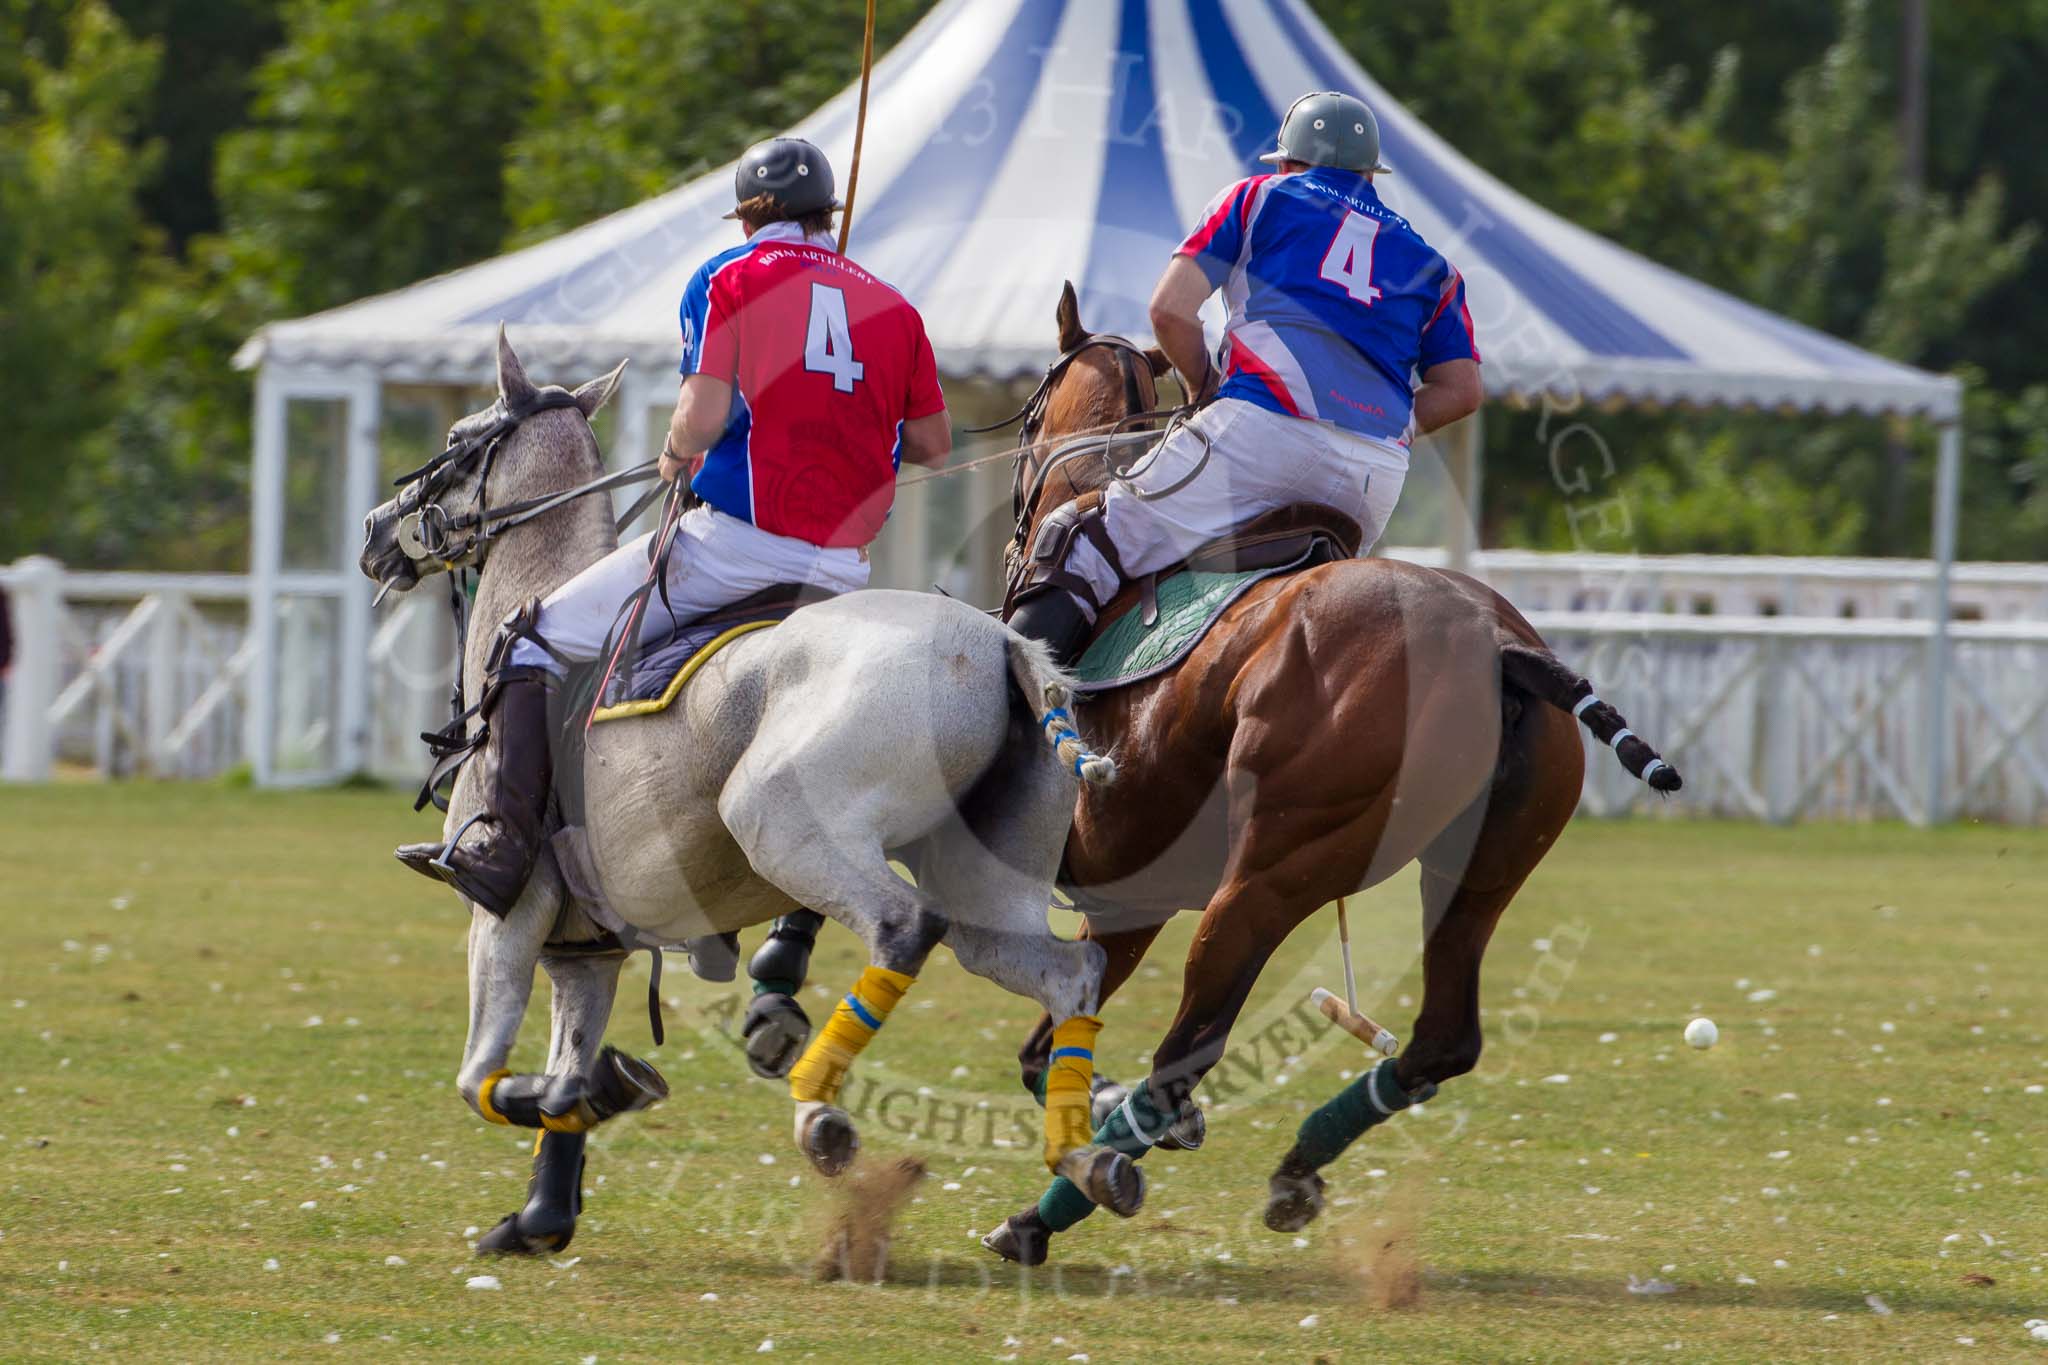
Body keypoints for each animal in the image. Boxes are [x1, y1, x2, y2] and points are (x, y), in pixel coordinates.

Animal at [360, 325, 1146, 1252]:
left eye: (455, 442)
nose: (374, 528)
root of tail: (1002, 645)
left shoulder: (509, 915)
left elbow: (482, 1076)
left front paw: (589, 1099)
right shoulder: (586, 948)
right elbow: (567, 1066)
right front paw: (542, 1210)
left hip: (779, 822)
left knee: (905, 925)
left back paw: (820, 1112)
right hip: (989, 883)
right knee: (1069, 969)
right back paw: (1087, 1160)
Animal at [987, 282, 1679, 1268]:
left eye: (1029, 412)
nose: (1012, 535)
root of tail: (1499, 644)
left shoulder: (1108, 884)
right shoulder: (1129, 898)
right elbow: (1046, 1044)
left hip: (1274, 869)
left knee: (1189, 1049)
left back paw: (1067, 1196)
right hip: (1483, 866)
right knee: (1442, 1038)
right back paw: (1293, 1166)